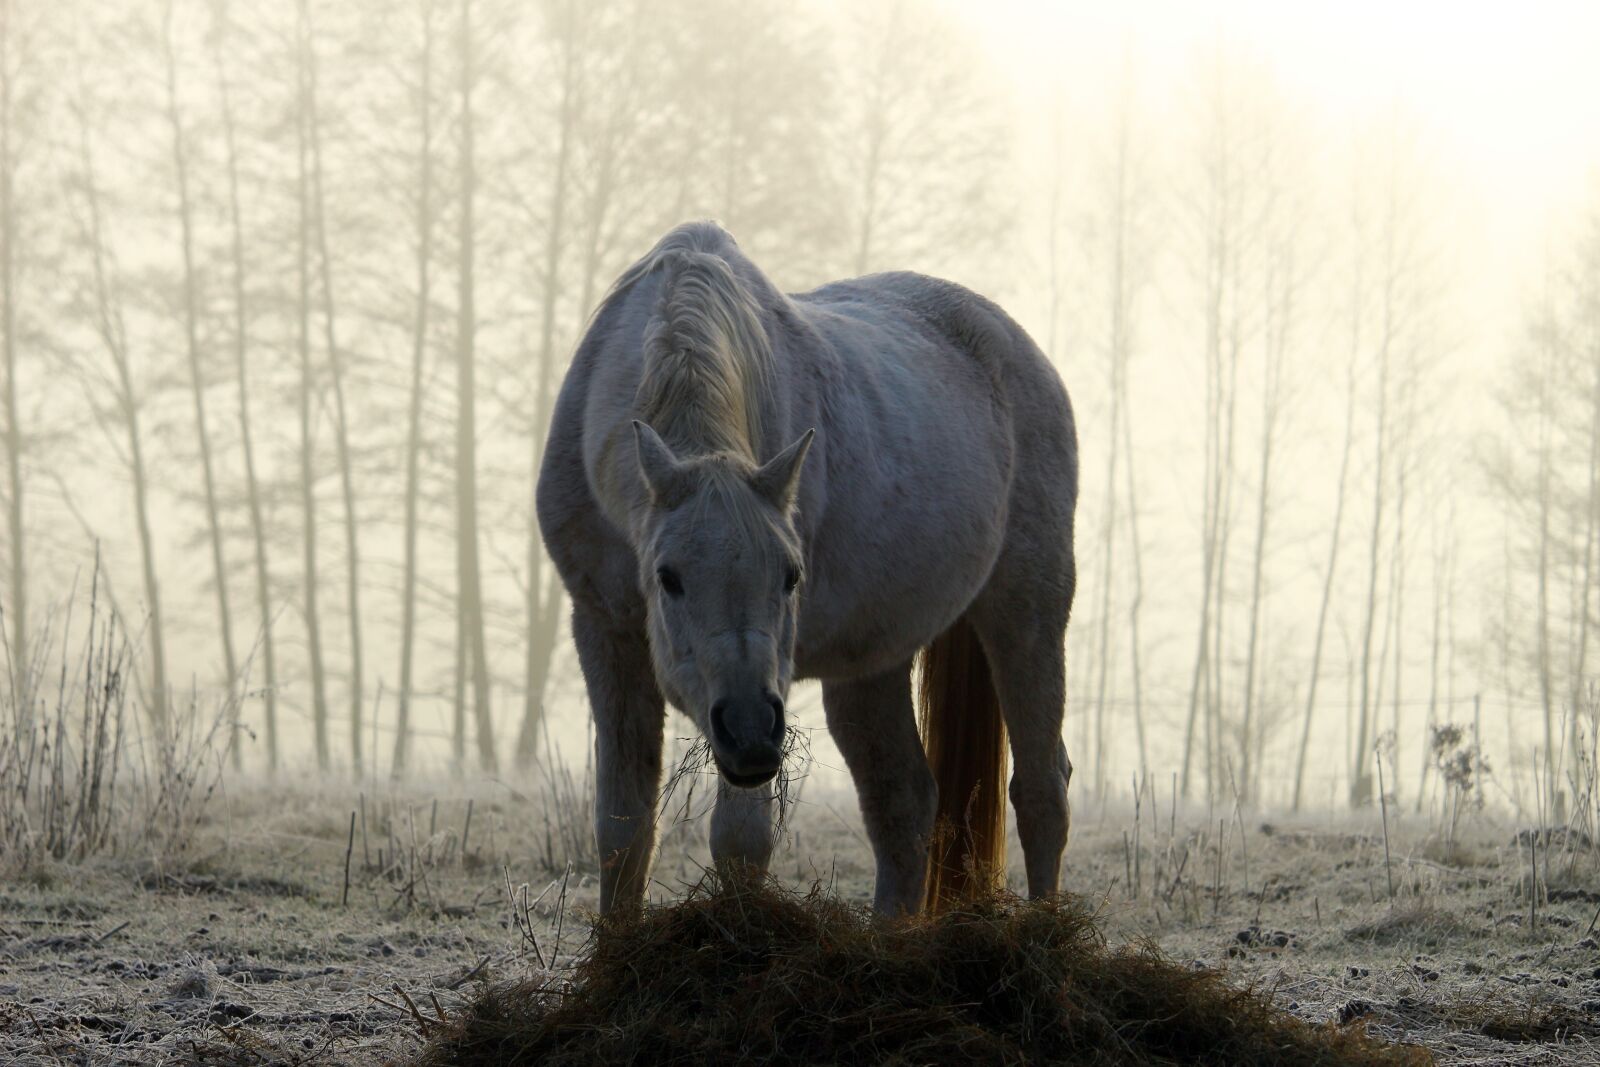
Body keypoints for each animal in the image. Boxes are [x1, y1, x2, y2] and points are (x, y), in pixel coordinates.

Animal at [536, 221, 1078, 916]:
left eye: (791, 575)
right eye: (667, 577)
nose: (746, 728)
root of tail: (1019, 349)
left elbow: (740, 839)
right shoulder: (603, 630)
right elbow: (622, 831)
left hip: (1028, 611)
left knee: (1041, 789)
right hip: (872, 664)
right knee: (905, 800)